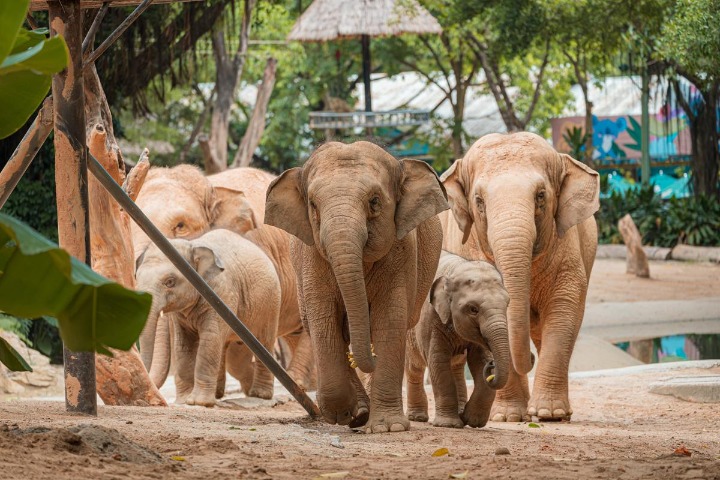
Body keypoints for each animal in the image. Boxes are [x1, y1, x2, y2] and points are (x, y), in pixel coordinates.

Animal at [135, 229, 281, 406]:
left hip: (272, 303)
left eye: (170, 282)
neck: (192, 245)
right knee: (223, 344)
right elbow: (183, 345)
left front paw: (199, 402)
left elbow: (210, 339)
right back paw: (218, 394)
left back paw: (260, 395)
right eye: (136, 278)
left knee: (265, 341)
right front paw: (184, 401)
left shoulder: (221, 293)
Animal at [265, 141, 449, 433]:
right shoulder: (311, 257)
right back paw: (360, 412)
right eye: (313, 205)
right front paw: (347, 414)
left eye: (374, 202)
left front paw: (387, 428)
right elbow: (324, 321)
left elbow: (390, 319)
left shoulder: (403, 250)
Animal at [405, 251, 511, 429]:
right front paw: (449, 424)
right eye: (473, 309)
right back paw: (417, 418)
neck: (456, 269)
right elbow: (438, 361)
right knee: (414, 367)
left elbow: (479, 360)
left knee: (456, 366)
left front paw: (472, 421)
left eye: (507, 304)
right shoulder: (431, 318)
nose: (493, 364)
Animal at [440, 132, 599, 422]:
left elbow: (565, 309)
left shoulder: (567, 251)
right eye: (479, 201)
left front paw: (549, 414)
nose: (530, 361)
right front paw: (509, 417)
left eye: (540, 196)